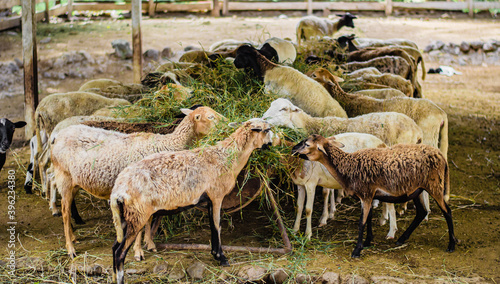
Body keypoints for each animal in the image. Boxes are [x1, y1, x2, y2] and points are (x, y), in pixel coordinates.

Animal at [51, 105, 223, 258]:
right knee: (65, 212)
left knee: (68, 208)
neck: (167, 144)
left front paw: (149, 243)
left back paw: (73, 237)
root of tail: (58, 135)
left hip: (74, 181)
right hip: (64, 177)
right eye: (210, 117)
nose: (227, 123)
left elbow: (151, 218)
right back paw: (70, 249)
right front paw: (138, 252)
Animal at [110, 117, 274, 284]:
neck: (227, 157)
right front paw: (222, 258)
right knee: (119, 252)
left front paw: (215, 254)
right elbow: (217, 226)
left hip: (125, 217)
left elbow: (212, 225)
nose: (271, 144)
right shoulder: (216, 196)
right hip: (138, 214)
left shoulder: (209, 200)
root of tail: (117, 191)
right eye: (267, 130)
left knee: (114, 247)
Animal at [292, 134, 458, 258]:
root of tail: (441, 156)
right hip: (416, 190)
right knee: (422, 212)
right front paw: (367, 242)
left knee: (447, 212)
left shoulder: (366, 194)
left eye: (307, 144)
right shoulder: (368, 195)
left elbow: (362, 222)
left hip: (435, 186)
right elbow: (369, 218)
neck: (347, 166)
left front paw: (357, 250)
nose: (293, 148)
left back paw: (451, 245)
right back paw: (401, 239)